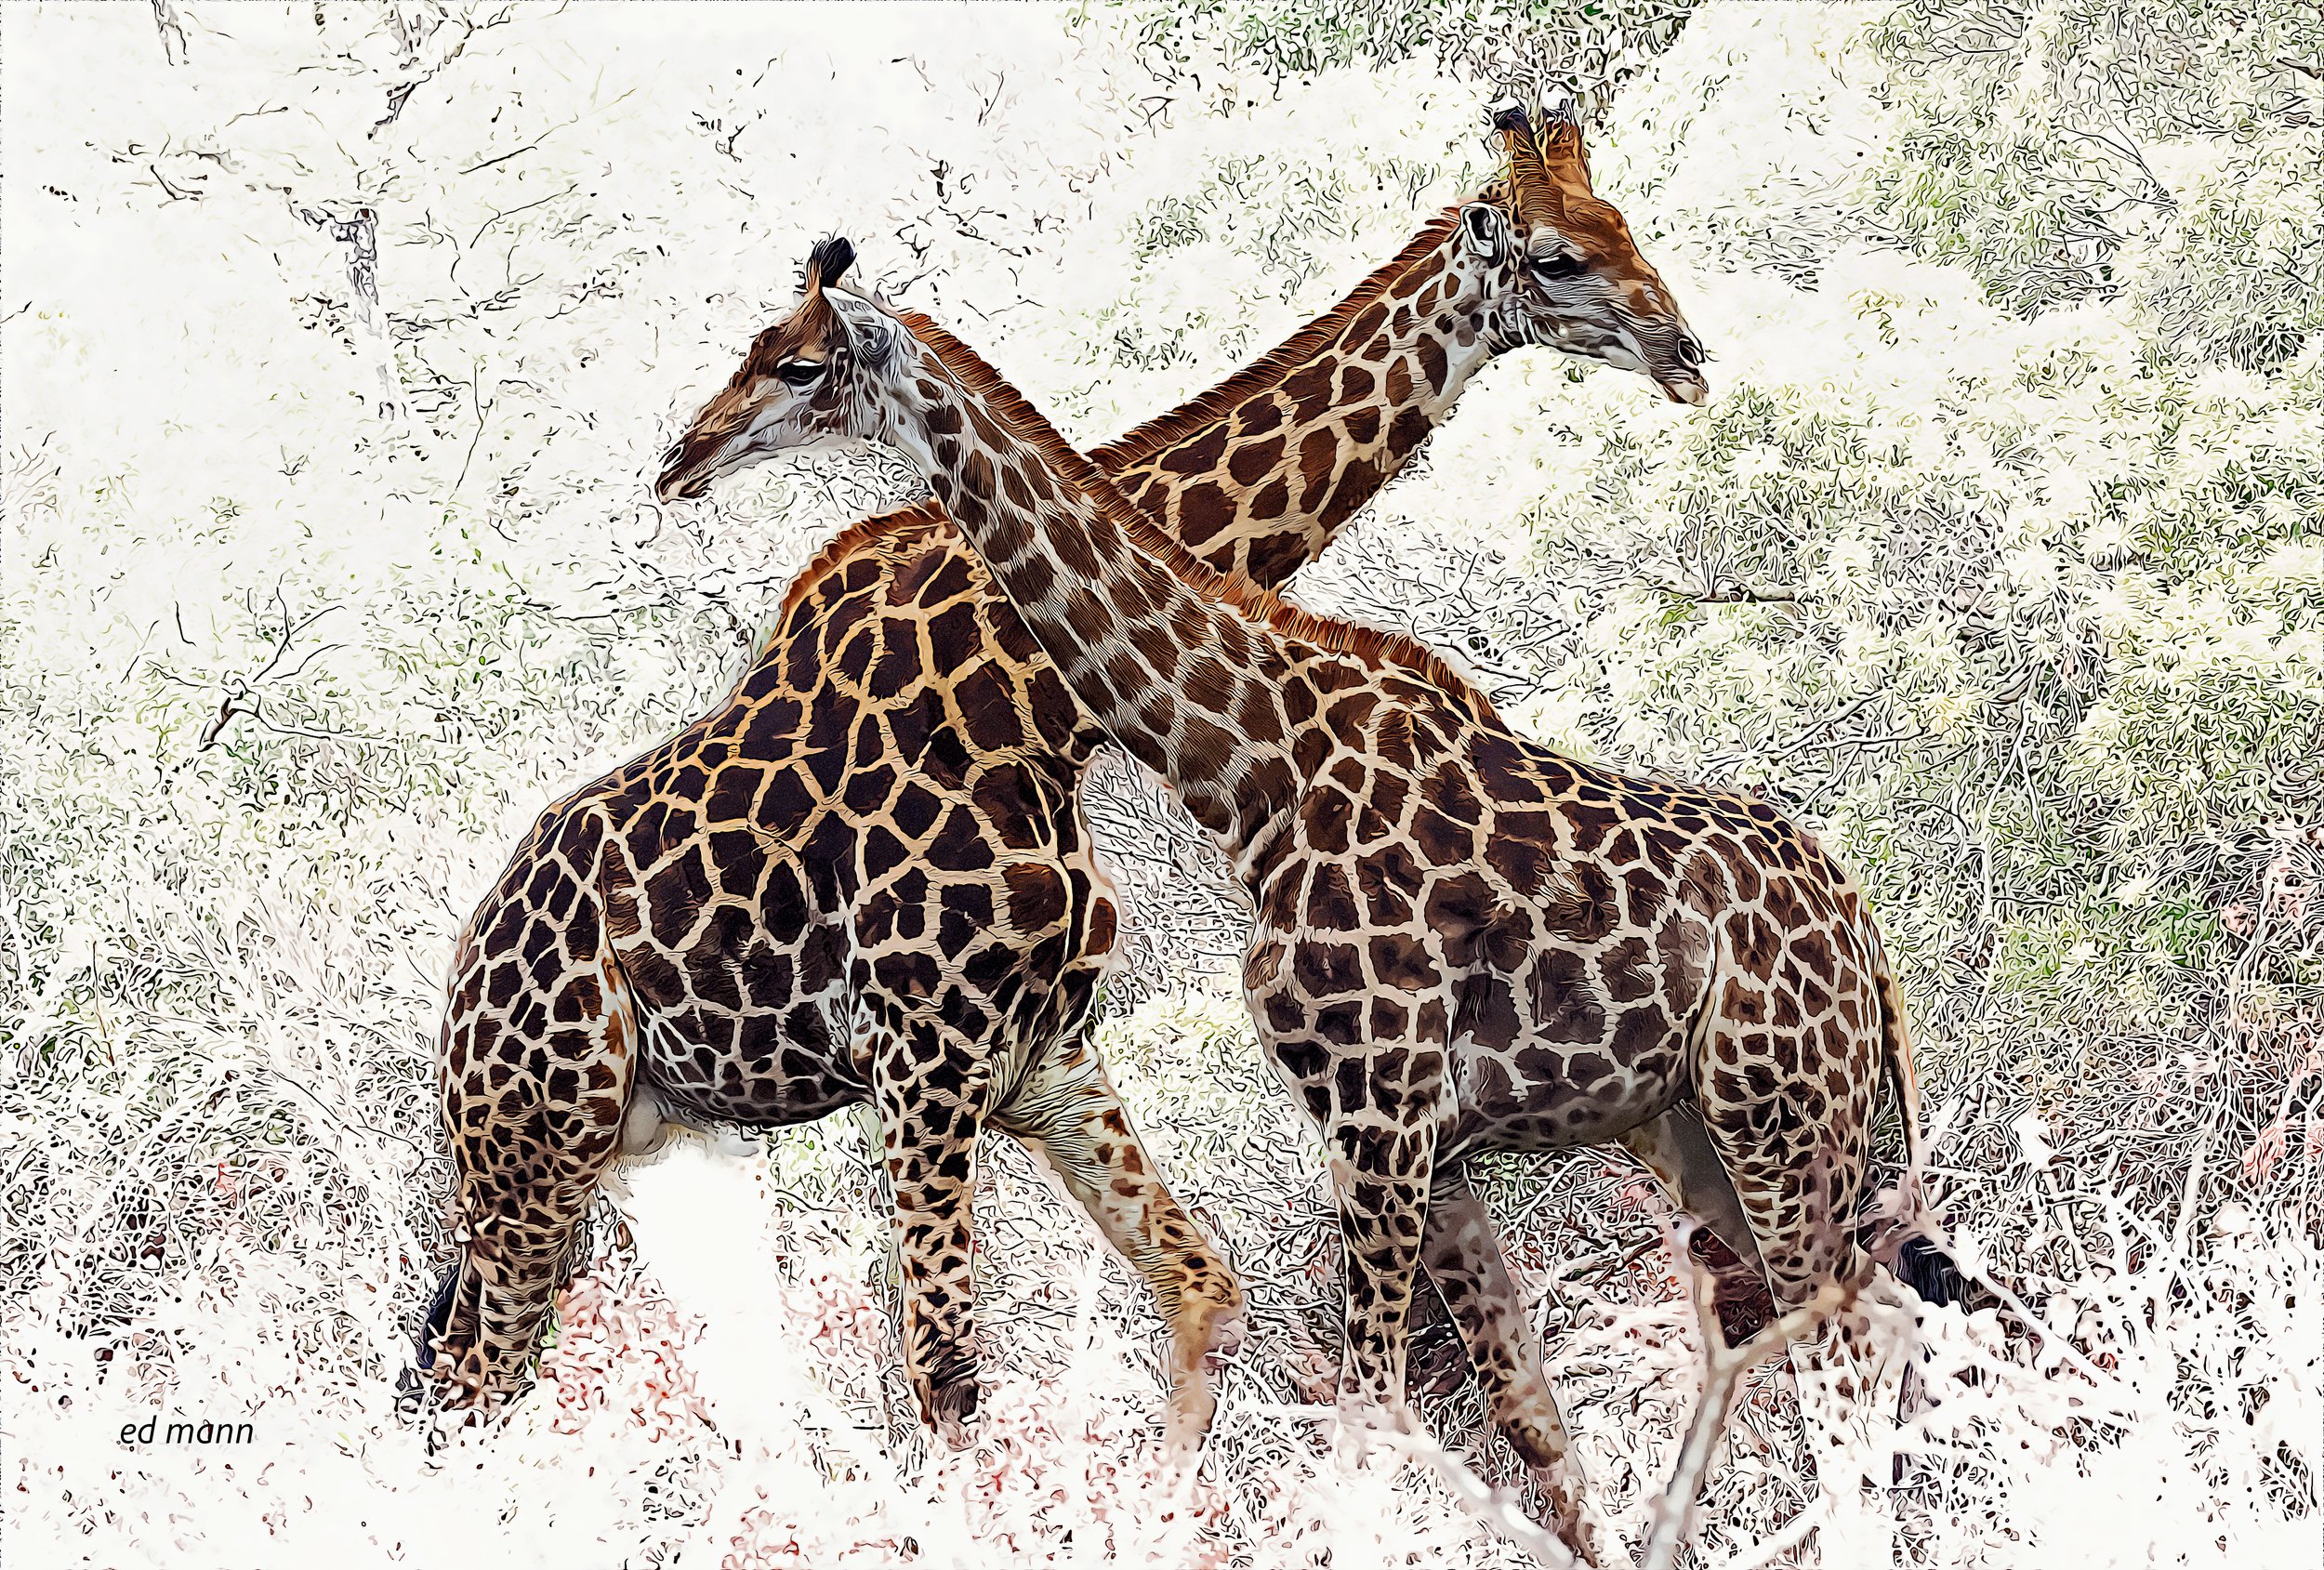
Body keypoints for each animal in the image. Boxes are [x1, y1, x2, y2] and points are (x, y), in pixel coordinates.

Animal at [429, 97, 1709, 1457]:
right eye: (1558, 256)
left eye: (1618, 224)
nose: (1686, 353)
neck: (1031, 708)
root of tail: (463, 982)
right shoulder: (923, 1056)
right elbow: (946, 1373)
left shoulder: (1042, 1057)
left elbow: (1202, 1291)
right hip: (536, 1144)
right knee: (476, 1379)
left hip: (654, 1148)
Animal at [660, 144, 1922, 1564]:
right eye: (1562, 251)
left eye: (796, 364)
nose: (683, 455)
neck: (1251, 761)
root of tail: (1867, 939)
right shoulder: (1410, 1134)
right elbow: (1516, 1419)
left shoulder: (1378, 1109)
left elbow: (1380, 1409)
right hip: (1708, 1123)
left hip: (1777, 1111)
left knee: (1844, 1362)